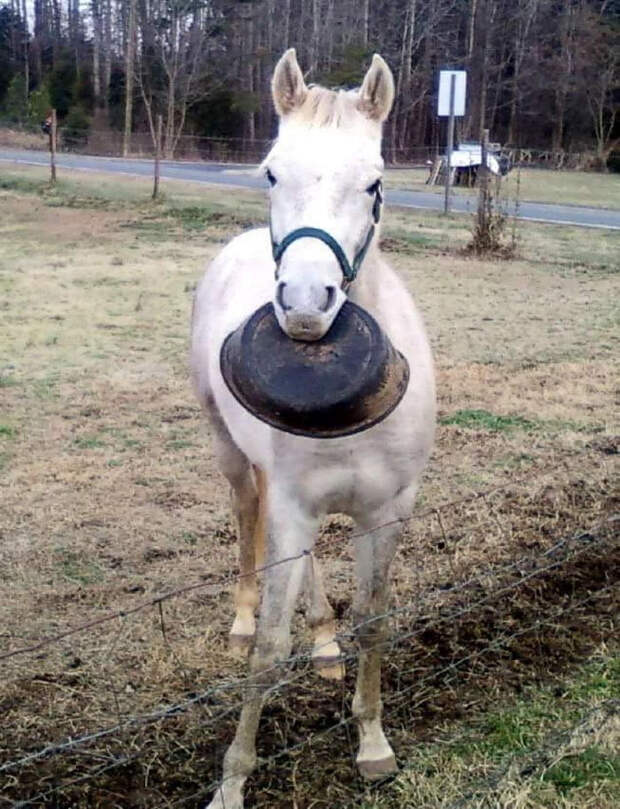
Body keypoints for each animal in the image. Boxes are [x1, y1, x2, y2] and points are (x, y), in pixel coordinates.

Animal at [190, 49, 436, 808]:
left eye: (375, 182)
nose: (303, 304)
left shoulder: (387, 510)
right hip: (227, 447)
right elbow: (271, 650)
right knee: (247, 514)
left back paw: (324, 639)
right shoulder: (296, 507)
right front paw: (232, 780)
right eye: (272, 172)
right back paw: (242, 619)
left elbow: (374, 620)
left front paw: (373, 743)